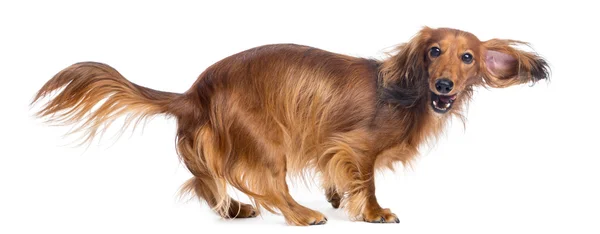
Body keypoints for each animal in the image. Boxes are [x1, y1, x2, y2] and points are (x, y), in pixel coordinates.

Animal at [32, 27, 548, 225]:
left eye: (469, 57)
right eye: (434, 51)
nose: (444, 85)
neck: (407, 91)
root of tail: (195, 91)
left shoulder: (332, 149)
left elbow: (336, 174)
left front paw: (337, 196)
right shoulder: (355, 145)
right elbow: (367, 180)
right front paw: (373, 212)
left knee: (204, 181)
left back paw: (234, 211)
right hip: (268, 143)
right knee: (268, 187)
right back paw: (301, 214)